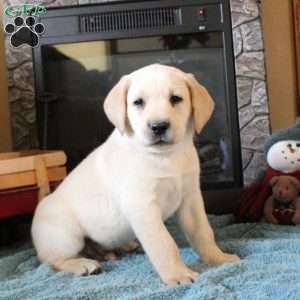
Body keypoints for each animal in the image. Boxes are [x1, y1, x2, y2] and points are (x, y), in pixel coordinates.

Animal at [31, 63, 239, 284]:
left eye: (175, 98)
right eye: (138, 102)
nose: (158, 126)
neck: (164, 156)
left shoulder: (190, 198)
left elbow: (203, 231)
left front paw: (218, 258)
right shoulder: (143, 206)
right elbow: (164, 242)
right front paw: (178, 274)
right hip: (65, 235)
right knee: (52, 261)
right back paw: (83, 265)